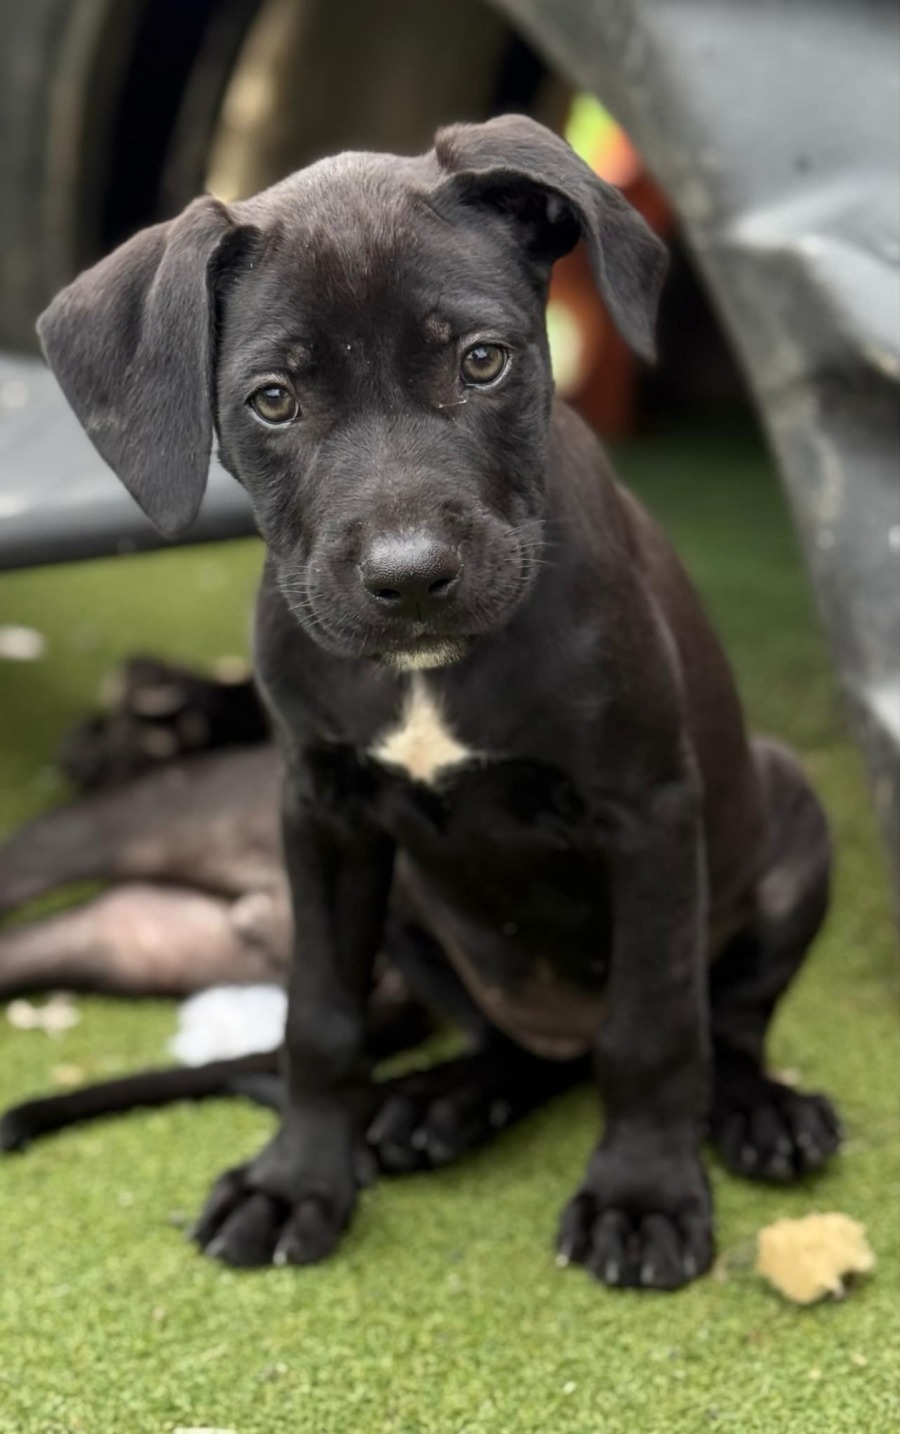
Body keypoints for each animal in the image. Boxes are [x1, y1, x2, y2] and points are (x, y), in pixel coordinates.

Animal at [27, 114, 841, 1289]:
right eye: (274, 399)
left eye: (482, 360)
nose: (411, 579)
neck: (426, 672)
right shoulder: (322, 814)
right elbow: (319, 1018)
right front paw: (296, 1181)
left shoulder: (647, 810)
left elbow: (655, 1026)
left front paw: (642, 1194)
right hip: (416, 904)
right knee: (514, 1049)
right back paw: (441, 1103)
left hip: (783, 813)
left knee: (719, 1022)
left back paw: (758, 1112)